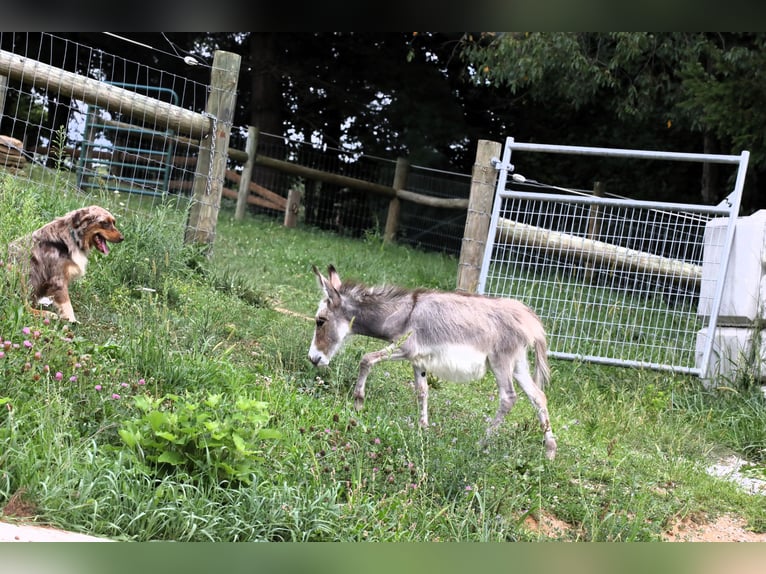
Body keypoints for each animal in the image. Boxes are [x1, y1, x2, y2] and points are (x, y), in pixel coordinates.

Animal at [310, 266, 560, 464]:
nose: (313, 359)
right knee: (538, 396)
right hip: (518, 364)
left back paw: (482, 442)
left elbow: (366, 359)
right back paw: (550, 451)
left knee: (509, 398)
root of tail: (530, 319)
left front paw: (358, 402)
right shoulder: (417, 360)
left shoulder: (404, 349)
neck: (403, 313)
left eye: (320, 321)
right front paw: (424, 428)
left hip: (501, 361)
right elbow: (422, 391)